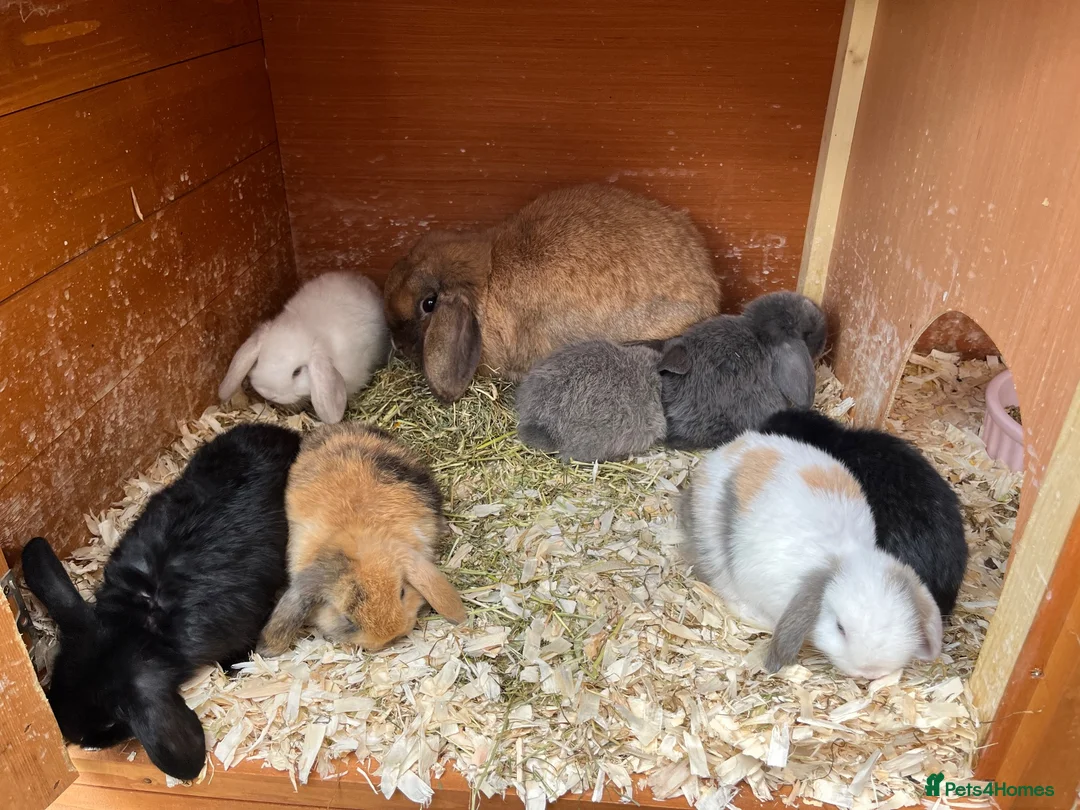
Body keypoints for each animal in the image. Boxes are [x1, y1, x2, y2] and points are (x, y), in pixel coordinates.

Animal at [680, 430, 943, 679]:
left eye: (900, 622)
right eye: (840, 628)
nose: (870, 671)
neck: (840, 556)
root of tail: (728, 450)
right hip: (712, 543)